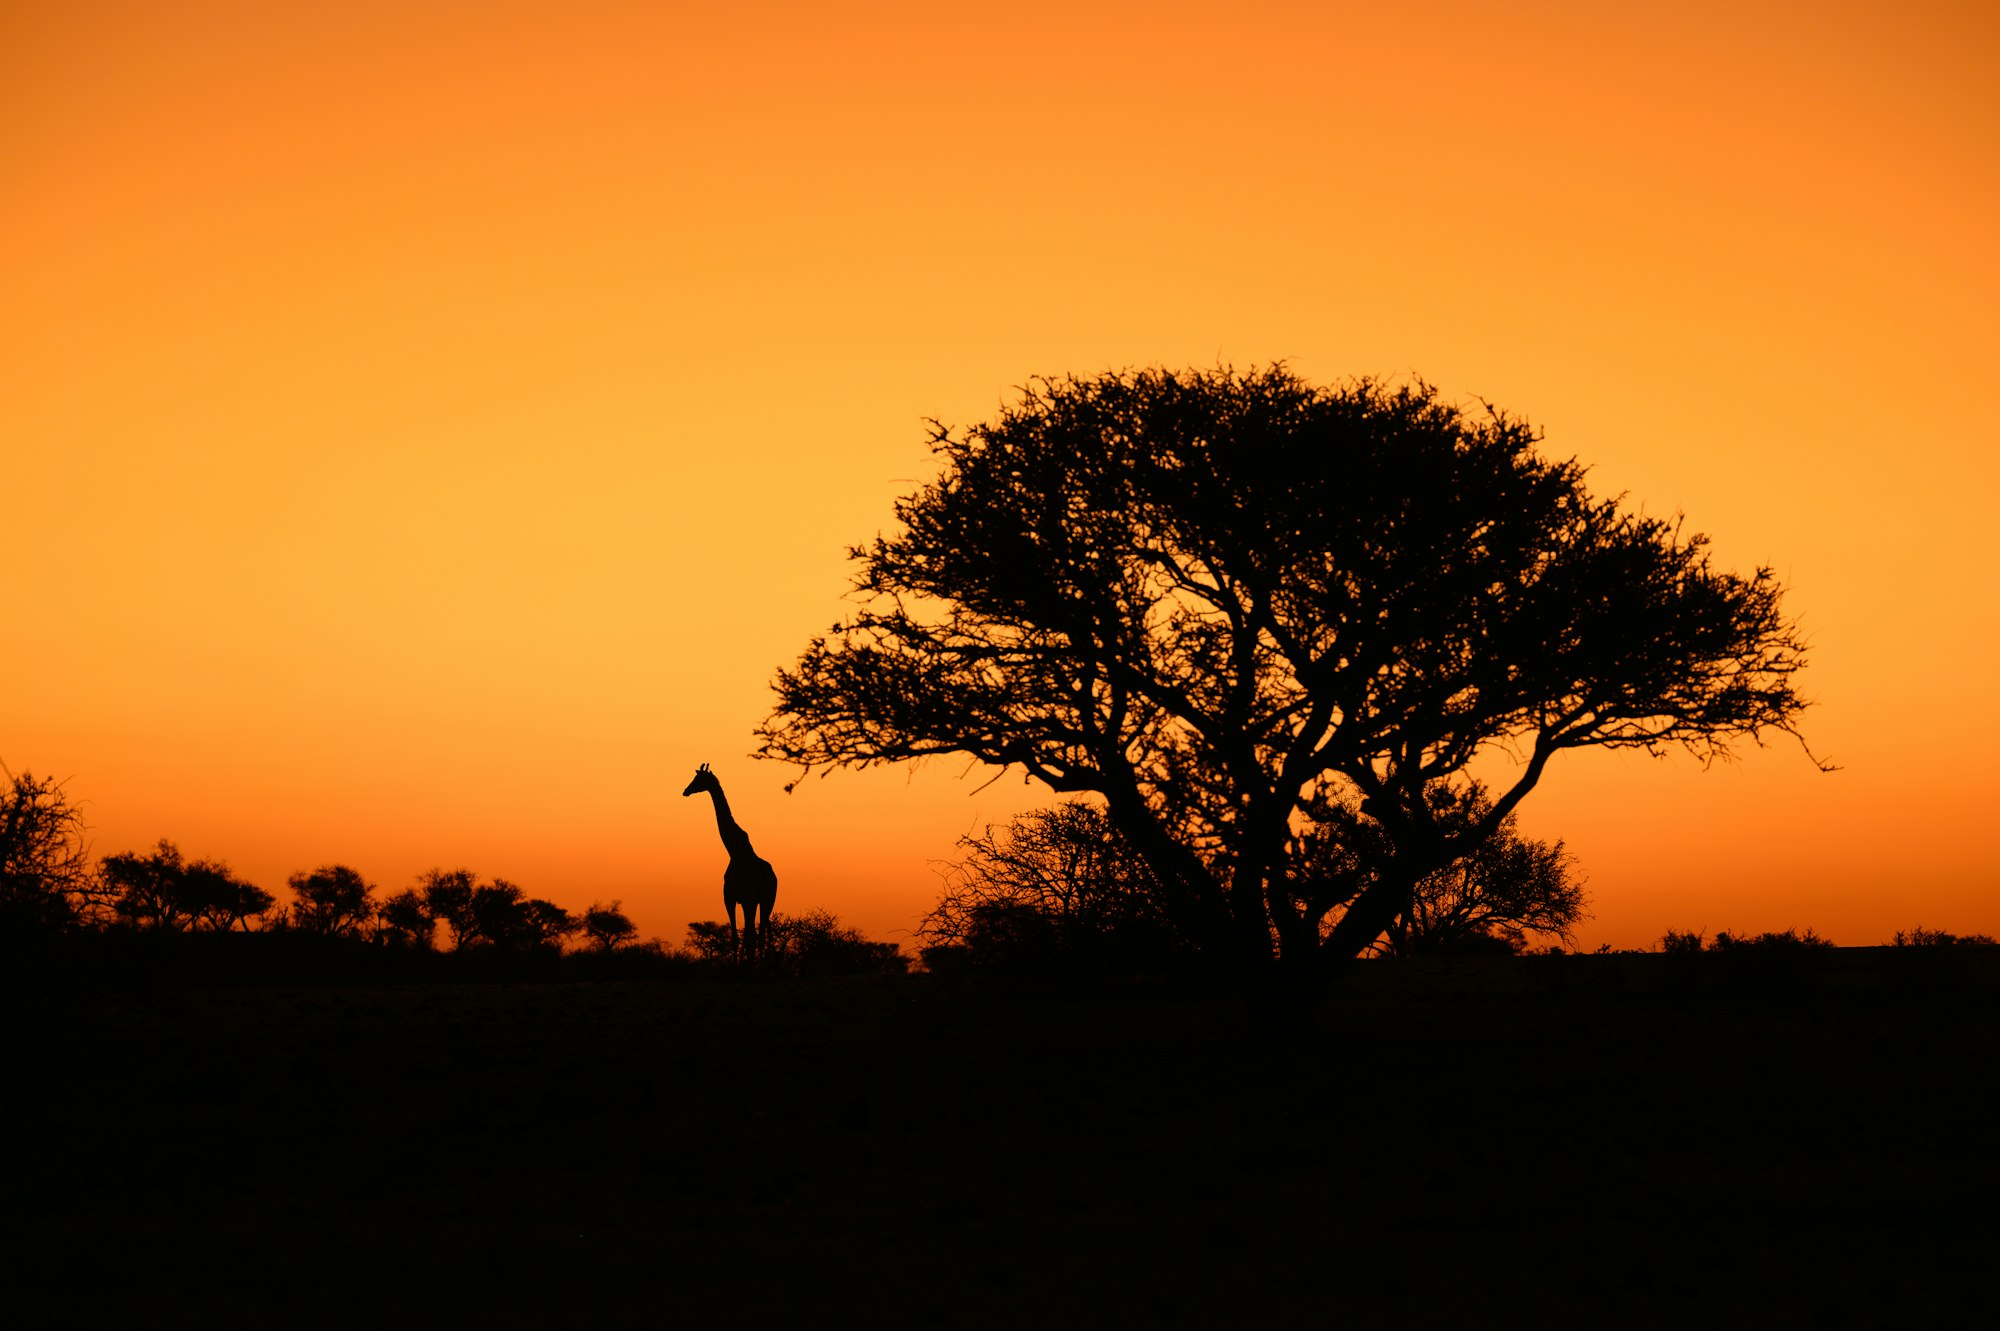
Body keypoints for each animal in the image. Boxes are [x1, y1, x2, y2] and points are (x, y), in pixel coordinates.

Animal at [682, 763, 778, 957]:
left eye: (699, 779)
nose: (685, 791)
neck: (734, 851)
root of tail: (773, 876)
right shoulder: (736, 898)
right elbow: (738, 938)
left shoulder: (739, 898)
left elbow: (743, 938)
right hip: (763, 901)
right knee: (761, 935)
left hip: (761, 900)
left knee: (757, 935)